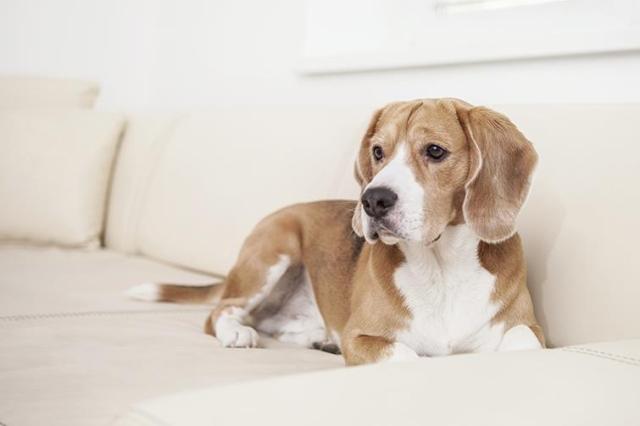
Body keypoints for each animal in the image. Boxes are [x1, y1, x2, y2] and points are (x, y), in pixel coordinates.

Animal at [129, 98, 544, 364]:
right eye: (378, 152)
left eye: (435, 151)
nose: (372, 200)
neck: (442, 266)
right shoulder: (362, 338)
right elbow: (410, 357)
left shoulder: (532, 331)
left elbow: (524, 344)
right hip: (274, 248)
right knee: (222, 310)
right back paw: (237, 332)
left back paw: (320, 340)